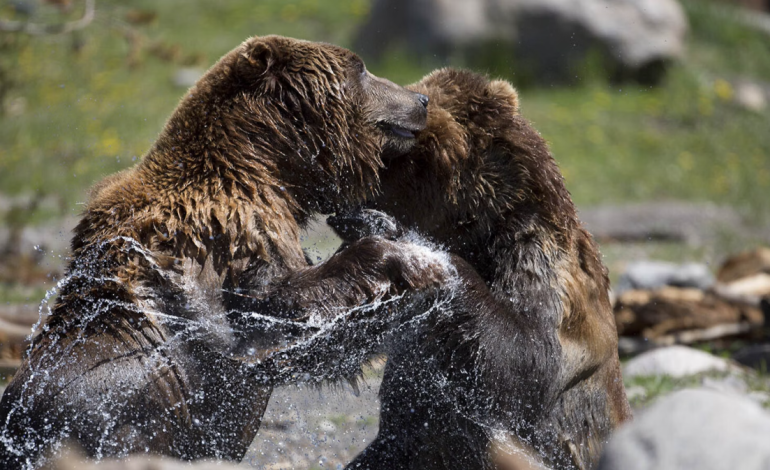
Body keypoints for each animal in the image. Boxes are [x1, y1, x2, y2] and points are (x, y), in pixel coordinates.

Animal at [0, 35, 451, 469]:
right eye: (360, 68)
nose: (421, 100)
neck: (266, 167)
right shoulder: (226, 243)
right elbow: (283, 309)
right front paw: (417, 263)